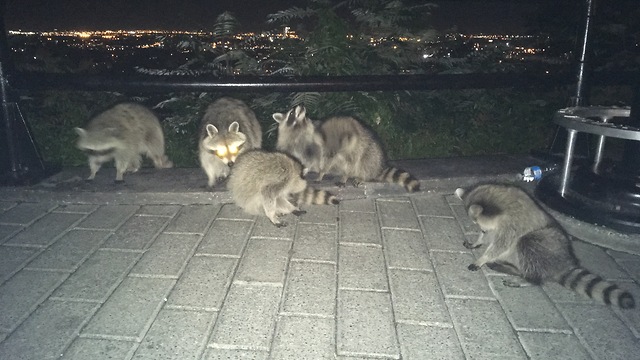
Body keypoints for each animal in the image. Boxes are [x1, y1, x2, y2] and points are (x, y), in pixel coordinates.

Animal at [270, 105, 420, 191]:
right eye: (291, 113)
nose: (301, 106)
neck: (298, 128)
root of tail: (378, 167)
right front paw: (304, 169)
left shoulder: (323, 145)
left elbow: (322, 159)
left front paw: (320, 173)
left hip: (366, 152)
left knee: (355, 161)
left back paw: (353, 176)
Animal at [456, 183, 636, 310]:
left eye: (478, 224)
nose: (481, 232)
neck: (500, 202)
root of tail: (565, 262)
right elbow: (492, 238)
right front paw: (478, 241)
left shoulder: (512, 224)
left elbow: (501, 244)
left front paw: (482, 258)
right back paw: (513, 269)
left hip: (544, 243)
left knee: (526, 243)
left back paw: (528, 279)